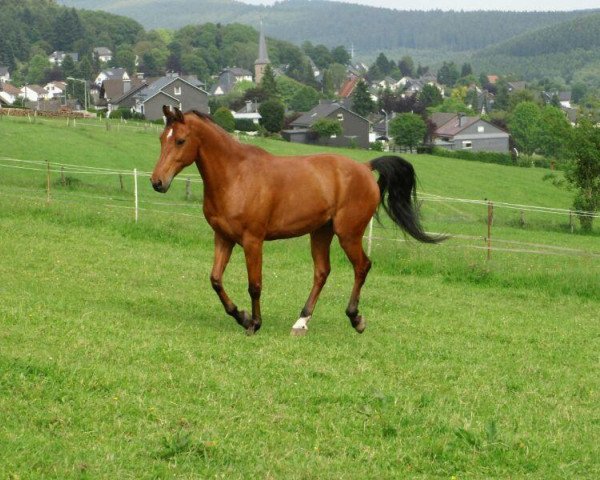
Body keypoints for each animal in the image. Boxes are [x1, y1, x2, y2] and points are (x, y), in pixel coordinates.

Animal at [150, 106, 440, 336]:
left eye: (180, 141)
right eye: (162, 139)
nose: (157, 182)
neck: (236, 176)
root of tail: (364, 168)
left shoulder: (252, 241)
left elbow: (255, 285)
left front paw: (254, 323)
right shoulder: (223, 238)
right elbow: (215, 280)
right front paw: (241, 316)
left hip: (348, 234)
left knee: (362, 267)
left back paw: (356, 318)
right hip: (321, 233)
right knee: (322, 272)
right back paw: (301, 321)